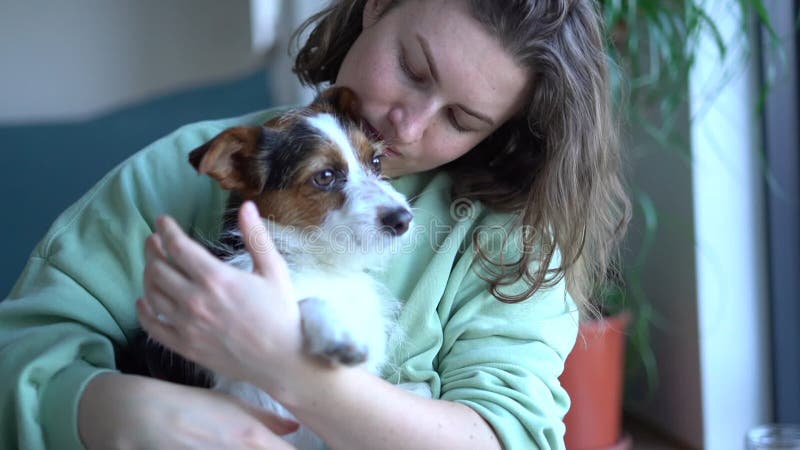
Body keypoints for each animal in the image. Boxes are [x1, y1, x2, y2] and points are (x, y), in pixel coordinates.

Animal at [120, 86, 418, 448]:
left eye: (375, 161)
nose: (403, 219)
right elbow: (300, 301)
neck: (314, 261)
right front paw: (337, 332)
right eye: (325, 176)